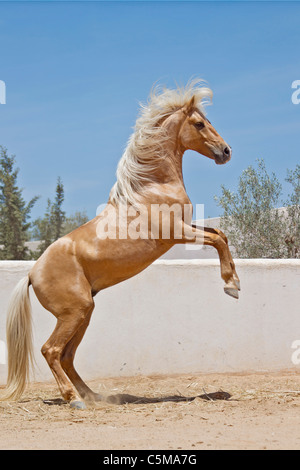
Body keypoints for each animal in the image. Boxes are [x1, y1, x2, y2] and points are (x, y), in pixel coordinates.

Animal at [0, 80, 239, 408]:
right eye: (200, 124)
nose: (226, 151)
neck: (151, 187)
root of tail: (31, 274)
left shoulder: (186, 228)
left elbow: (220, 234)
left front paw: (235, 282)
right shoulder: (177, 232)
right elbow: (216, 238)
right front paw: (231, 286)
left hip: (85, 312)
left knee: (67, 356)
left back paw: (93, 396)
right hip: (74, 313)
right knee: (51, 351)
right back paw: (74, 399)